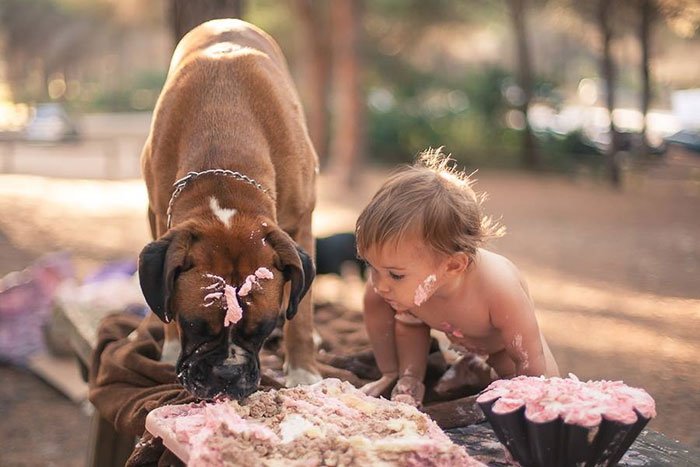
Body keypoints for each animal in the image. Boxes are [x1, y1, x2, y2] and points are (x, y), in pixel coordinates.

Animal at [137, 17, 322, 398]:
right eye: (194, 324)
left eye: (262, 329)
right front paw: (172, 345)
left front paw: (303, 369)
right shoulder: (162, 217)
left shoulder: (301, 225)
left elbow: (302, 313)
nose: (227, 373)